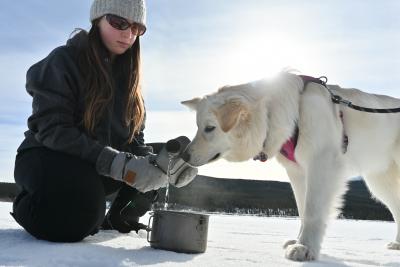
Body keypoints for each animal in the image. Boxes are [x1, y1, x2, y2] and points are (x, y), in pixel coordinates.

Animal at [181, 72, 400, 262]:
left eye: (210, 128)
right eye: (198, 127)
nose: (184, 155)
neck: (289, 114)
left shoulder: (321, 165)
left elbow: (312, 212)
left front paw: (305, 248)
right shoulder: (298, 173)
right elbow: (303, 210)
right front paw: (299, 241)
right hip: (380, 183)